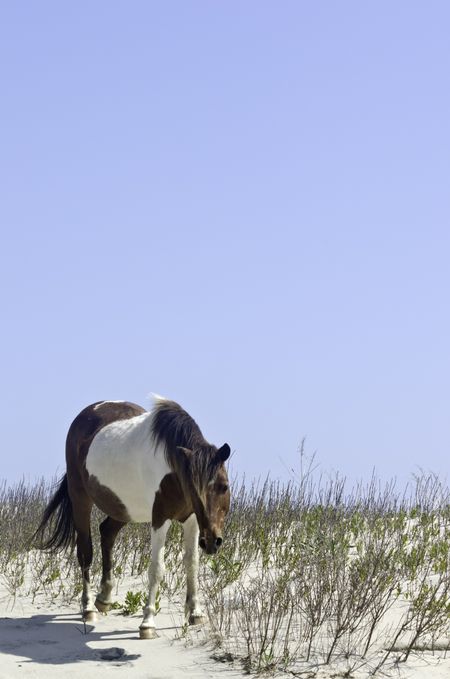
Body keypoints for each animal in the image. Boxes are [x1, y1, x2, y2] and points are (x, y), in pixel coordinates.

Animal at [34, 396, 231, 639]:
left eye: (224, 486)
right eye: (195, 489)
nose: (213, 541)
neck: (172, 467)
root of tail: (86, 414)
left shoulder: (192, 520)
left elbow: (192, 562)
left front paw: (195, 612)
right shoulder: (160, 519)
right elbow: (156, 568)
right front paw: (147, 622)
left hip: (122, 508)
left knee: (107, 533)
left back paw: (104, 598)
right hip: (80, 499)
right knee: (85, 553)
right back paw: (88, 607)